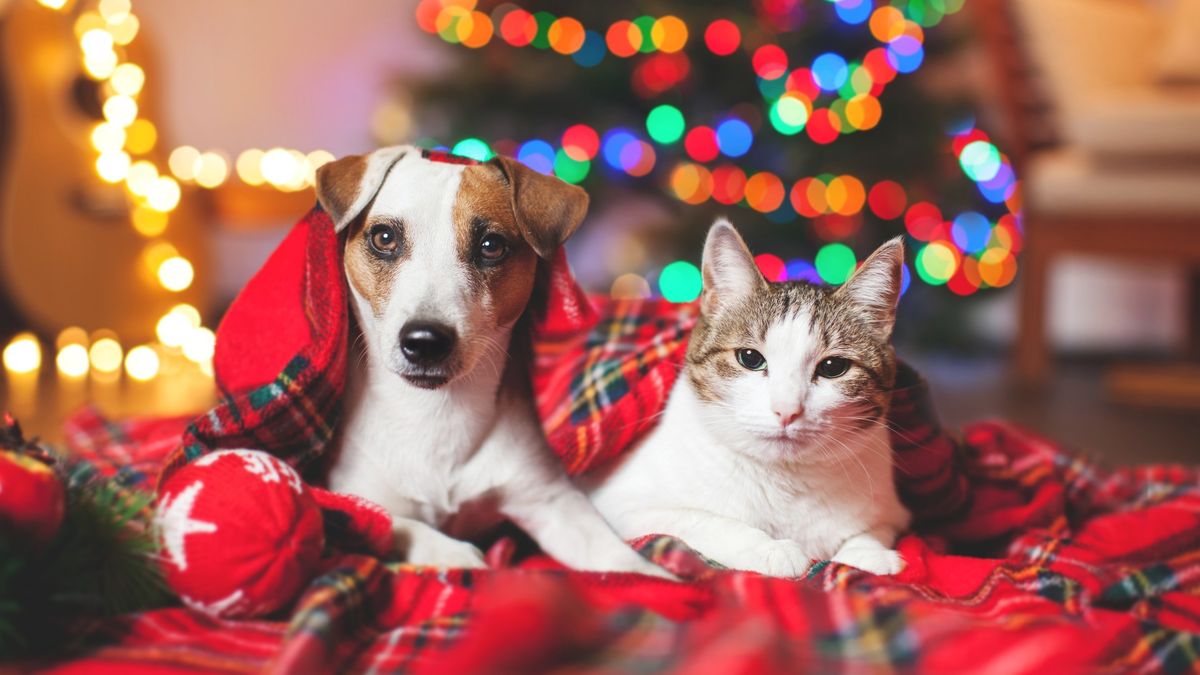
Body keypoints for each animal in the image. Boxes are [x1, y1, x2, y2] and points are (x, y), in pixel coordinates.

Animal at [314, 144, 672, 576]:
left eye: (491, 246)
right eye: (384, 237)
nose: (425, 341)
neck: (435, 414)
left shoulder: (552, 502)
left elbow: (615, 555)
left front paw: (658, 576)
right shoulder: (352, 496)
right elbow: (391, 522)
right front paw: (452, 553)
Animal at [588, 219, 907, 571]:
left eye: (833, 367)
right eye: (750, 358)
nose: (786, 410)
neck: (784, 482)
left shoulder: (892, 512)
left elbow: (870, 531)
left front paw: (867, 553)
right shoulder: (622, 505)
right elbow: (704, 521)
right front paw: (769, 548)